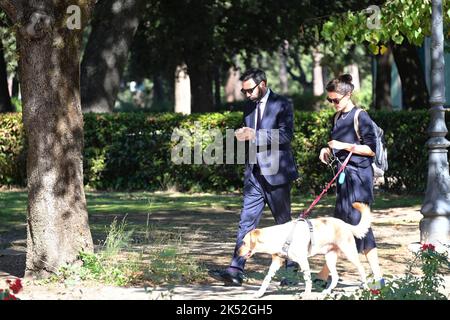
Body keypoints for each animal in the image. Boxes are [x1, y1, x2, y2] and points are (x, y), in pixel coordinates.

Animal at [237, 202, 370, 298]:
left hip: (349, 253)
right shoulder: (276, 261)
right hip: (330, 257)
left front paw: (306, 293)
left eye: (244, 242)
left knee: (362, 269)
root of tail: (345, 224)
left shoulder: (303, 260)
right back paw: (326, 292)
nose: (237, 253)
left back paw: (366, 288)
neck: (280, 237)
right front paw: (259, 293)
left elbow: (307, 279)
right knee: (336, 277)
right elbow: (266, 279)